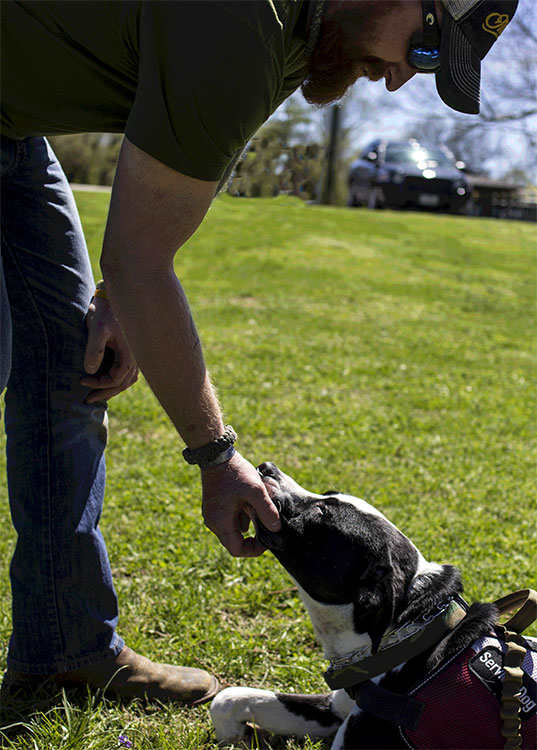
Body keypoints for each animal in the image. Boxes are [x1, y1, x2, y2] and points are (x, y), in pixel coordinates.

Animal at [210, 468, 536, 748]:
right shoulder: (333, 709)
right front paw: (235, 736)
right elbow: (229, 697)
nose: (267, 468)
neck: (407, 638)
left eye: (321, 514)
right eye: (327, 493)